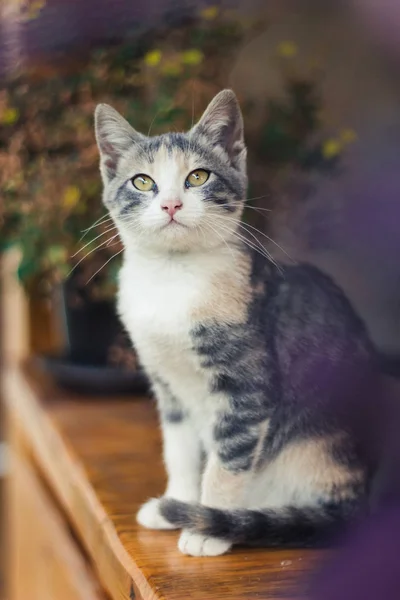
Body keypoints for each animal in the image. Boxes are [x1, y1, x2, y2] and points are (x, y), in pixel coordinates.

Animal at [94, 90, 382, 556]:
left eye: (197, 177)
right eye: (142, 182)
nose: (171, 204)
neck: (173, 279)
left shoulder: (247, 388)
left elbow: (227, 460)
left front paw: (206, 528)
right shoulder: (167, 386)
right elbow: (179, 450)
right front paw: (177, 504)